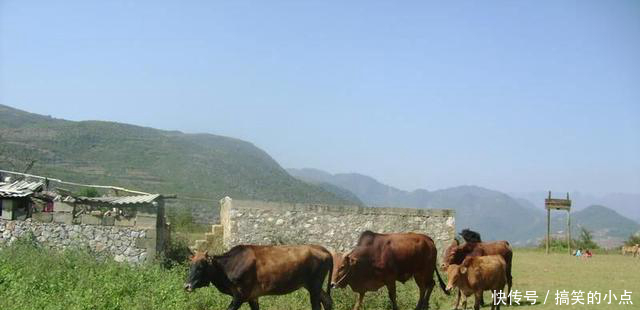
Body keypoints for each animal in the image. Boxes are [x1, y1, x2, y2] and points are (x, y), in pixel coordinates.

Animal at [184, 245, 332, 310]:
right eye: (190, 265)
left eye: (201, 266)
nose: (187, 286)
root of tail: (322, 249)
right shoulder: (252, 297)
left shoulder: (240, 296)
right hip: (312, 286)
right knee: (327, 301)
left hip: (314, 286)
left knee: (317, 306)